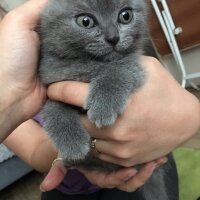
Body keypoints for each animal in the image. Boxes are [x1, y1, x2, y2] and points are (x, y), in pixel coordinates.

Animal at [38, 0, 178, 199]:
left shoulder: (136, 66)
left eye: (126, 16)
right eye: (86, 21)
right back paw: (72, 162)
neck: (88, 65)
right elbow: (54, 109)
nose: (113, 37)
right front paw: (72, 143)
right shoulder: (53, 85)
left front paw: (102, 107)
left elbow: (117, 70)